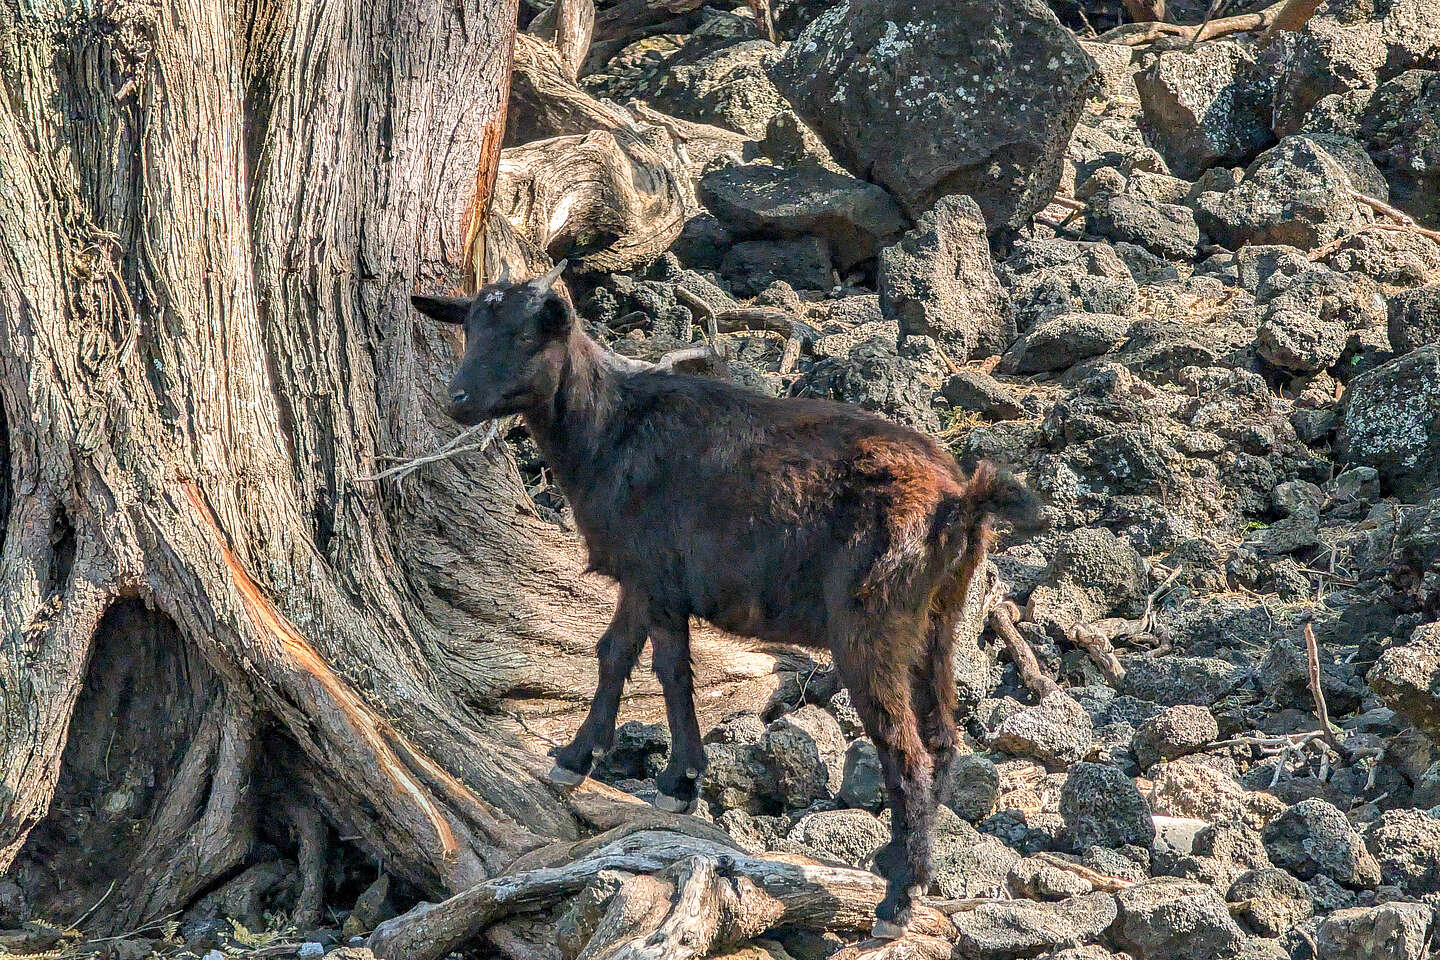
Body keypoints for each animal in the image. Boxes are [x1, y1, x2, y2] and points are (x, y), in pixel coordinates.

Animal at [413, 261, 1042, 937]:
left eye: (528, 336)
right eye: (470, 326)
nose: (456, 399)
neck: (607, 429)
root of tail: (958, 502)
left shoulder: (657, 573)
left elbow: (668, 666)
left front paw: (677, 777)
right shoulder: (642, 574)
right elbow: (614, 653)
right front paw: (583, 757)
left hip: (870, 622)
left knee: (907, 750)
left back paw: (899, 900)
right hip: (939, 618)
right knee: (943, 735)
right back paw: (905, 858)